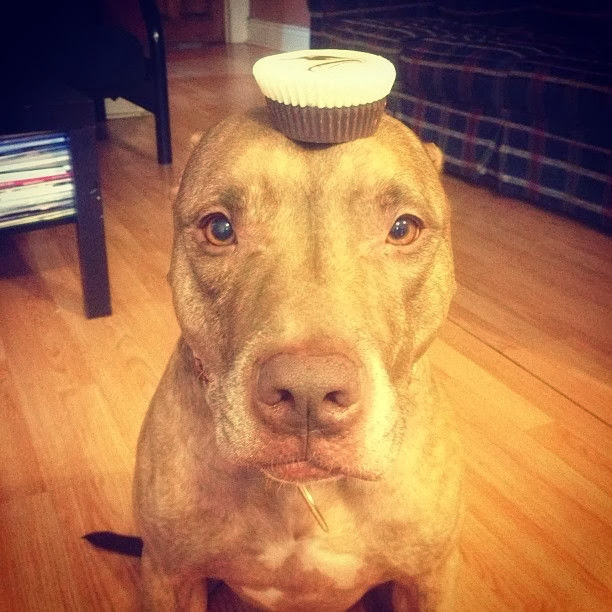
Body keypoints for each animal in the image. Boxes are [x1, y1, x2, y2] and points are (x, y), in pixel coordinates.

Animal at [133, 110, 460, 612]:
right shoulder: (169, 577)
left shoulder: (427, 582)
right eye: (219, 228)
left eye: (403, 228)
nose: (308, 392)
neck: (304, 494)